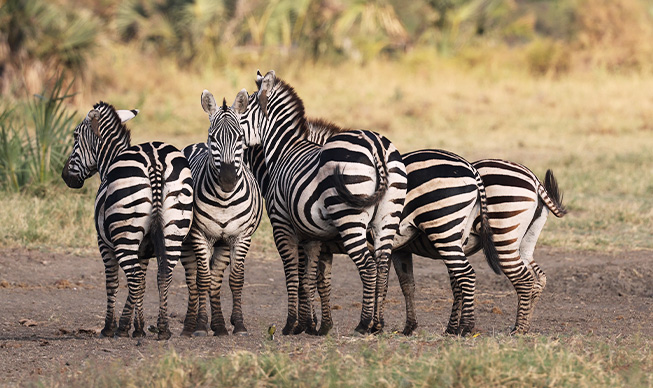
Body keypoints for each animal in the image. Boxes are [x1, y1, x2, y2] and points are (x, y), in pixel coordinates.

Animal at [60, 102, 194, 340]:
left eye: (75, 136)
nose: (65, 177)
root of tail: (154, 161)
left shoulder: (104, 243)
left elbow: (113, 282)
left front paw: (113, 327)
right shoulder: (143, 250)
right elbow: (142, 284)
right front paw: (136, 326)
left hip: (125, 233)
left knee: (133, 275)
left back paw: (125, 328)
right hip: (174, 229)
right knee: (163, 274)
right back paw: (163, 328)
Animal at [178, 92, 262, 334]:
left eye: (240, 137)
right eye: (213, 138)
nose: (227, 180)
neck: (224, 200)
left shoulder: (241, 236)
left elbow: (235, 279)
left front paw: (239, 324)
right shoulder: (200, 235)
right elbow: (202, 280)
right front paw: (199, 325)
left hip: (223, 243)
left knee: (216, 278)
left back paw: (219, 324)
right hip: (186, 240)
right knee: (193, 279)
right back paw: (191, 323)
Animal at [234, 70, 408, 336]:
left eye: (241, 109)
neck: (284, 151)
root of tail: (377, 145)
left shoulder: (283, 226)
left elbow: (294, 276)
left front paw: (294, 324)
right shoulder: (314, 236)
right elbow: (315, 280)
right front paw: (318, 325)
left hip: (350, 218)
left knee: (368, 267)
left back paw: (363, 323)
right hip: (387, 219)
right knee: (381, 267)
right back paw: (377, 324)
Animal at [390, 159, 568, 334]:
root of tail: (534, 179)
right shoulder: (402, 250)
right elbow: (408, 284)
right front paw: (412, 327)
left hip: (502, 235)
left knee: (524, 279)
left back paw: (519, 329)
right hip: (524, 243)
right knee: (539, 277)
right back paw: (525, 324)